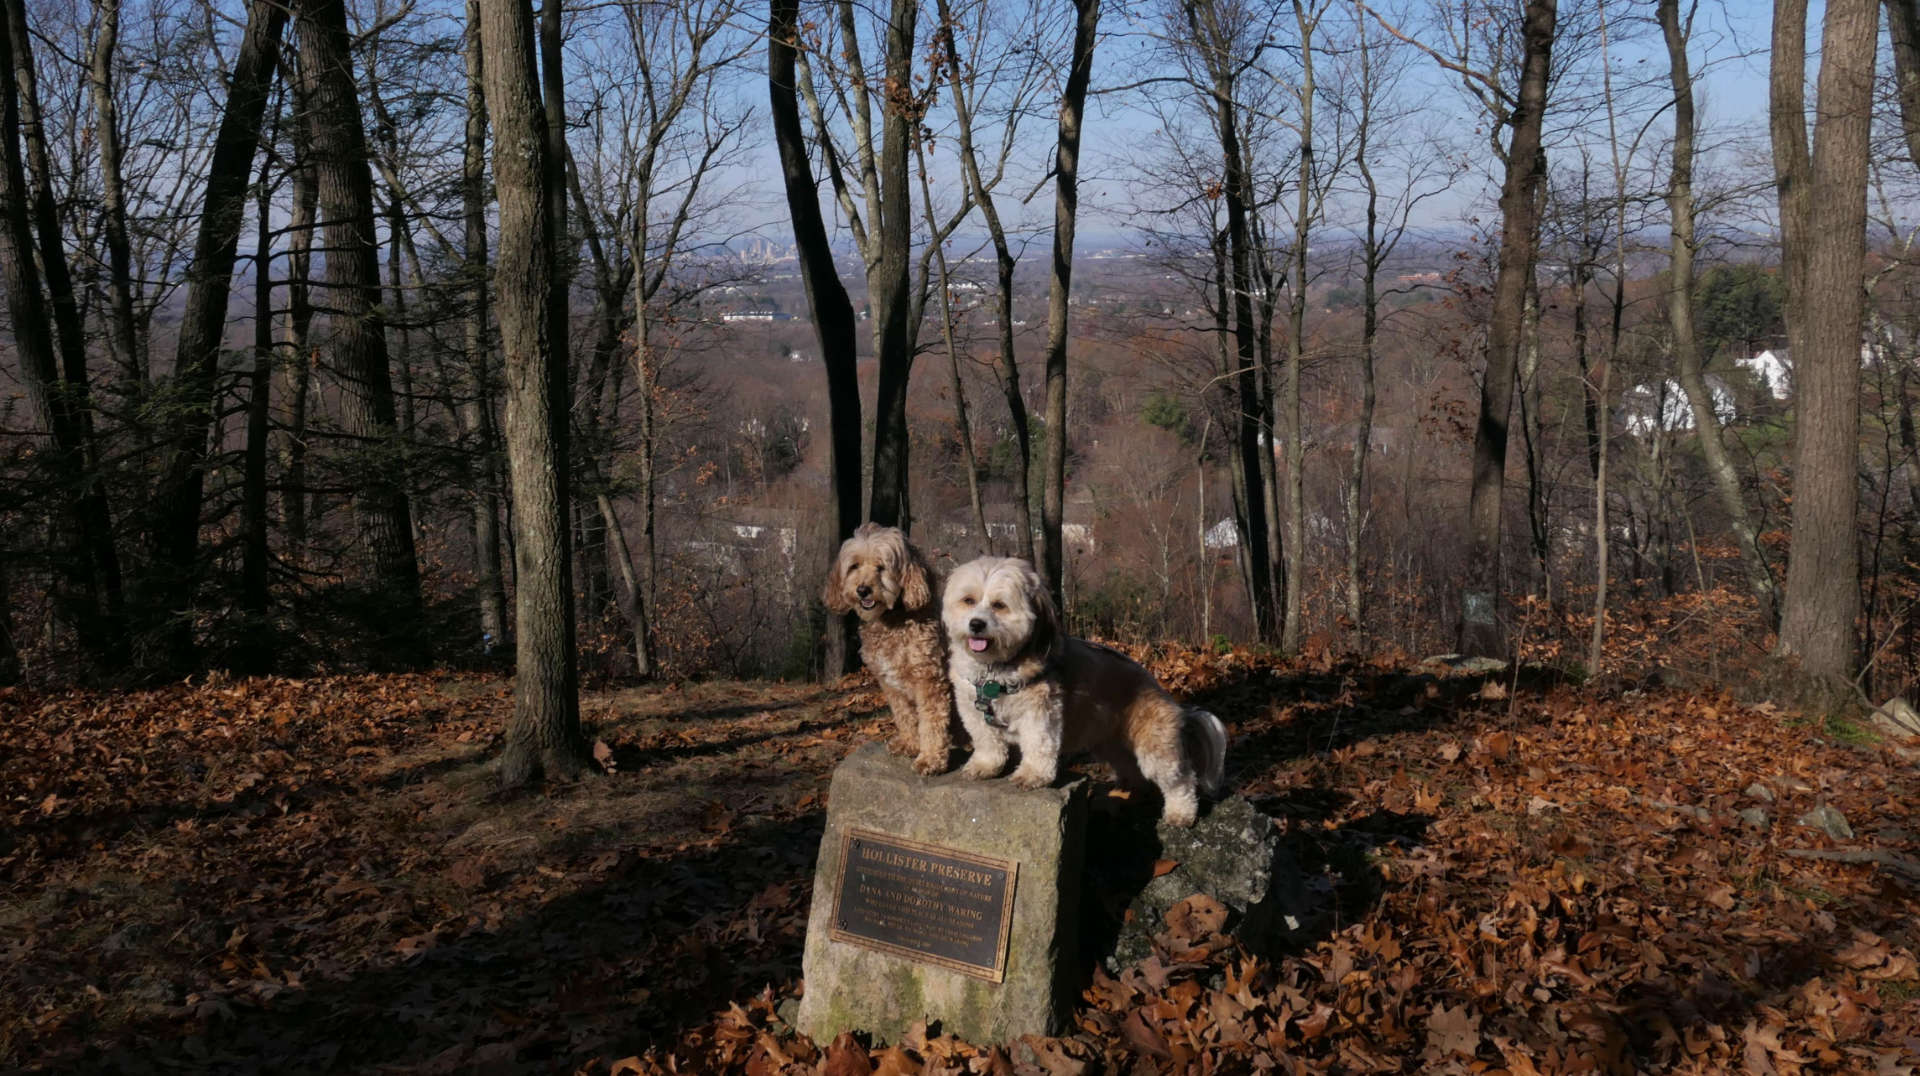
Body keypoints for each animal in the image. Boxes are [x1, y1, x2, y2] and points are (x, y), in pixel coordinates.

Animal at [821, 522, 956, 772]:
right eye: (854, 566)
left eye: (881, 567)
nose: (862, 590)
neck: (891, 620)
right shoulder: (890, 684)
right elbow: (905, 716)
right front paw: (910, 744)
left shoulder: (928, 679)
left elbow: (931, 721)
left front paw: (930, 759)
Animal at [944, 553, 1228, 822]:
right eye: (968, 600)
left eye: (999, 605)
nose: (976, 624)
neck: (995, 671)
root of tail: (1167, 697)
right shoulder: (973, 711)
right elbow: (987, 742)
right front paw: (985, 766)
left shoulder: (1040, 712)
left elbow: (1038, 744)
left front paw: (1032, 774)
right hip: (1112, 745)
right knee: (1134, 773)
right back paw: (1122, 797)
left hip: (1155, 748)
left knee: (1182, 781)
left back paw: (1181, 813)